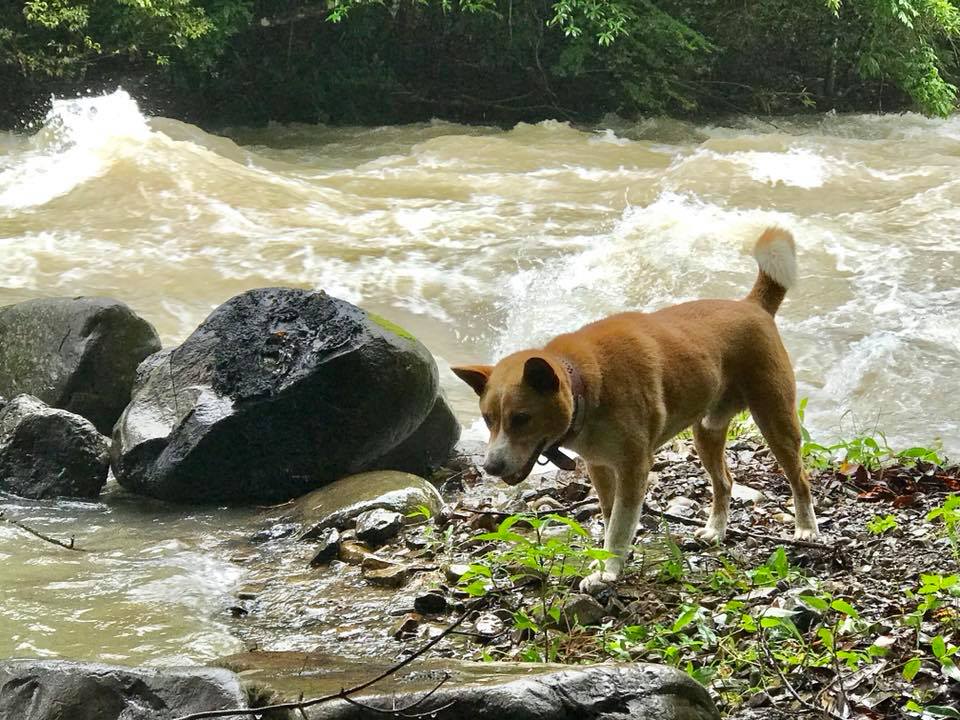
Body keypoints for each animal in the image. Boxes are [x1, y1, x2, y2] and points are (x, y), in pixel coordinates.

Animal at [454, 228, 812, 592]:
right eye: (488, 420)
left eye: (522, 419)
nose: (491, 467)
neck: (586, 386)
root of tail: (751, 305)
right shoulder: (600, 466)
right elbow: (609, 517)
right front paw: (607, 563)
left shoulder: (633, 468)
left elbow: (619, 527)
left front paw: (609, 571)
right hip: (706, 432)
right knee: (725, 481)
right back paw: (716, 530)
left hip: (775, 420)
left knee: (800, 478)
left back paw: (806, 529)